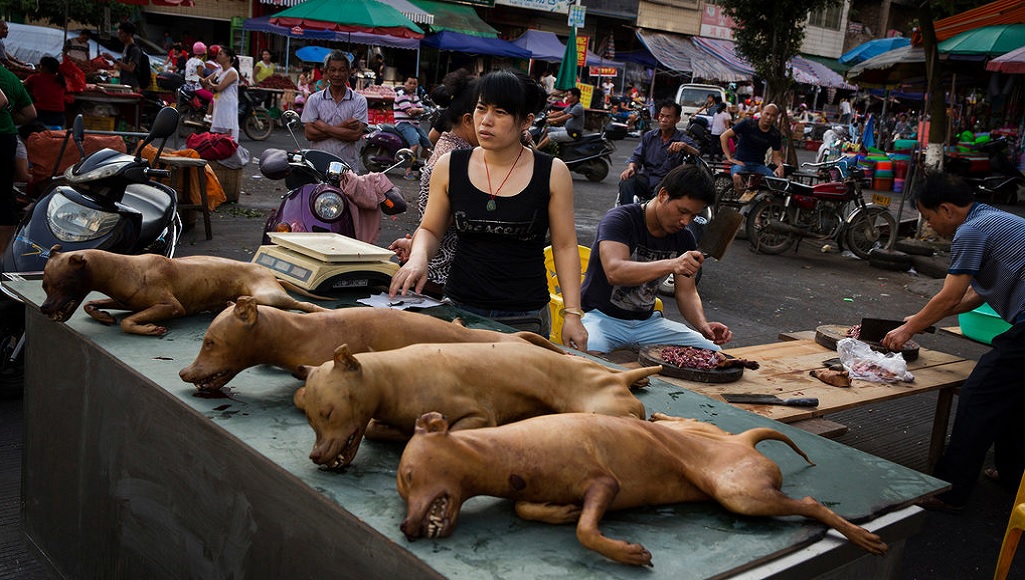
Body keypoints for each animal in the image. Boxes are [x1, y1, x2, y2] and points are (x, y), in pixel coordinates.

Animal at [41, 249, 323, 338]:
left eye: (62, 285)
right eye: (45, 286)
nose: (44, 308)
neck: (125, 268)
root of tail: (271, 273)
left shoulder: (172, 307)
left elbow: (128, 323)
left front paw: (148, 329)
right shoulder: (125, 301)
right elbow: (90, 305)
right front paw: (103, 315)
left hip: (270, 295)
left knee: (303, 306)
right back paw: (227, 304)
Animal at [293, 344, 656, 471]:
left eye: (329, 413)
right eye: (310, 421)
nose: (315, 455)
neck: (392, 377)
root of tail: (619, 377)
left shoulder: (479, 415)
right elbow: (372, 428)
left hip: (606, 411)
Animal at [397, 413, 889, 569]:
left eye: (407, 477)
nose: (405, 528)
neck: (502, 454)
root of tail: (742, 441)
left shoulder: (604, 483)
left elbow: (586, 531)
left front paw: (626, 552)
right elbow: (524, 508)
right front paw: (558, 510)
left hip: (740, 493)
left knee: (809, 503)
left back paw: (860, 534)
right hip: (713, 442)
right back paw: (664, 418)